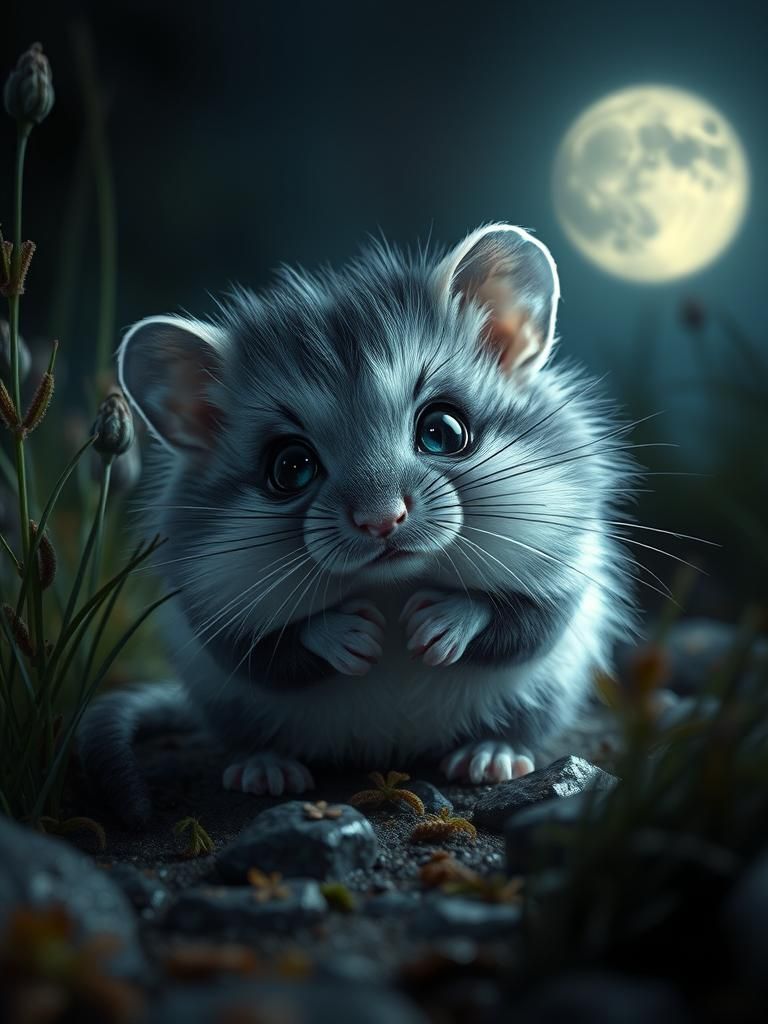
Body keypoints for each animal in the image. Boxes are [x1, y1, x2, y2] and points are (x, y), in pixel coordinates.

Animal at [77, 223, 639, 827]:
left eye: (443, 431)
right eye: (290, 467)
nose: (381, 521)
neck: (392, 583)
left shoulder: (567, 570)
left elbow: (520, 619)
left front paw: (435, 624)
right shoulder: (211, 617)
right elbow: (270, 652)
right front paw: (355, 636)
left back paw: (492, 759)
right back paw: (265, 772)